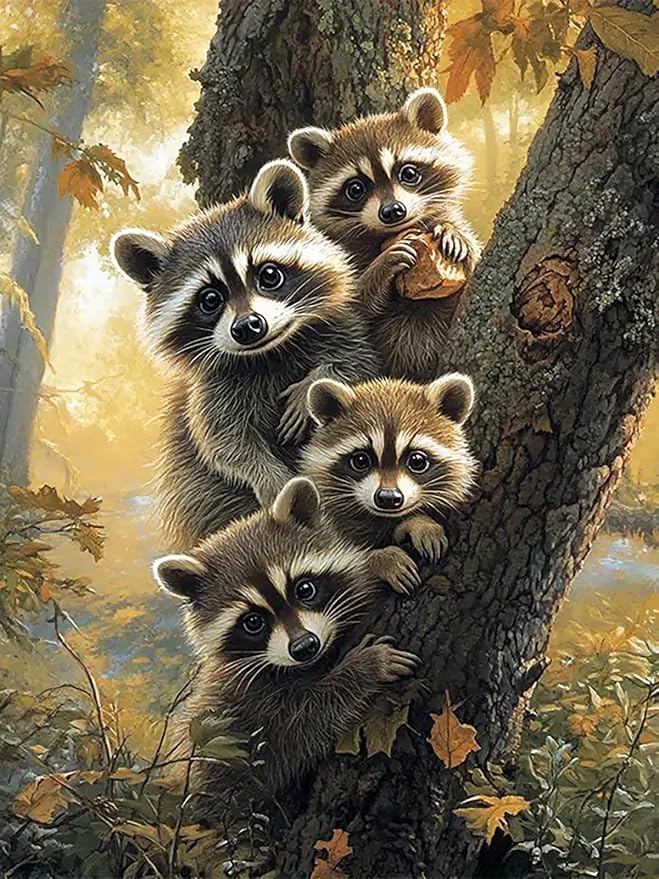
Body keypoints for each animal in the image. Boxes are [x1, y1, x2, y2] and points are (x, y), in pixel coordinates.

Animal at [112, 160, 381, 548]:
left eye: (269, 275)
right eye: (210, 299)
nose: (249, 326)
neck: (270, 352)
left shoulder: (341, 329)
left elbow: (357, 364)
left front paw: (312, 385)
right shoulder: (211, 391)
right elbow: (226, 444)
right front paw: (270, 479)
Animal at [152, 477, 420, 815]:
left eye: (304, 589)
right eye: (253, 622)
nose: (305, 646)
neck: (312, 663)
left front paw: (378, 562)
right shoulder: (248, 700)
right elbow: (303, 725)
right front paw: (364, 668)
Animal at [288, 88, 481, 380]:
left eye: (409, 173)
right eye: (356, 189)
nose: (393, 211)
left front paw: (456, 235)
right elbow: (349, 308)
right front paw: (383, 264)